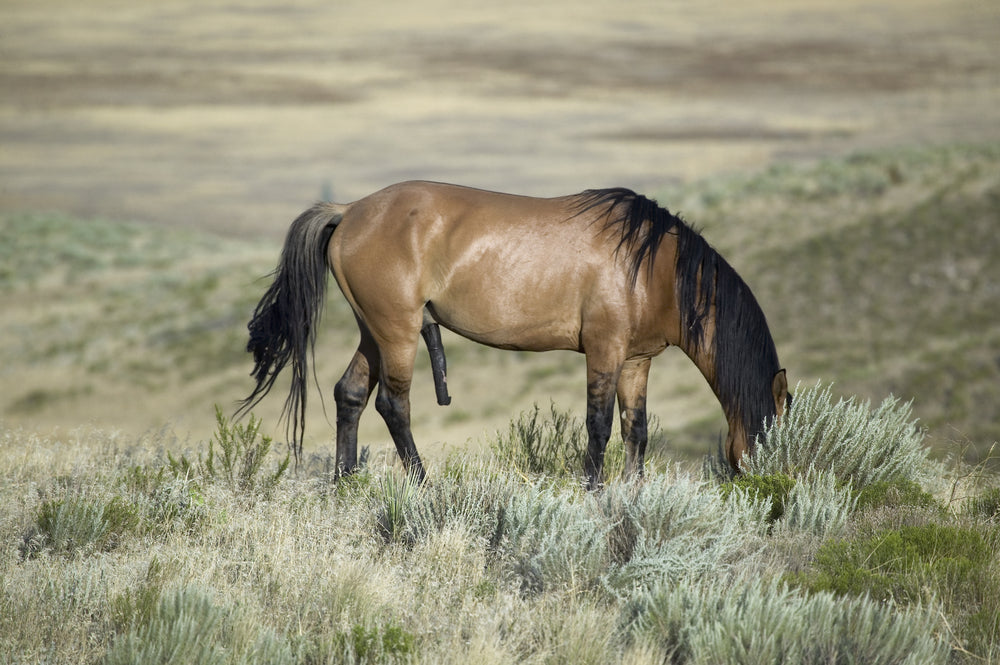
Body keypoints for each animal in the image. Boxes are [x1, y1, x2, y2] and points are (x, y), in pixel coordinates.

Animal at [239, 181, 789, 489]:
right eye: (774, 432)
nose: (773, 489)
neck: (652, 266)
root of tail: (350, 210)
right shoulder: (604, 351)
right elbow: (599, 425)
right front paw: (594, 490)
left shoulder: (637, 360)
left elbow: (636, 429)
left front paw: (633, 492)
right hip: (397, 333)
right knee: (393, 406)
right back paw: (424, 486)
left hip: (373, 332)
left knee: (350, 393)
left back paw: (346, 483)